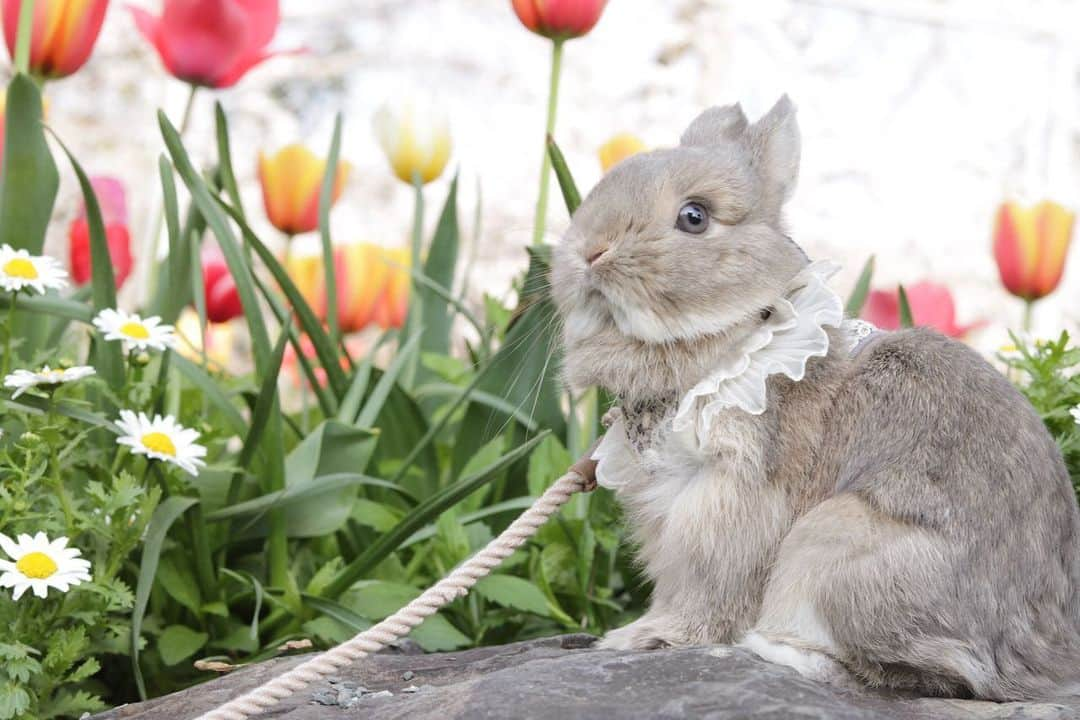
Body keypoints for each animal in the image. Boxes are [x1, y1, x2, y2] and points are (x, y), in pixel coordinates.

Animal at [552, 94, 1080, 699]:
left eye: (695, 216)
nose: (589, 253)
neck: (737, 340)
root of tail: (1042, 663)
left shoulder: (729, 493)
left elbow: (707, 586)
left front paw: (644, 637)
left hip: (835, 544)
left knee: (926, 672)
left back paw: (775, 647)